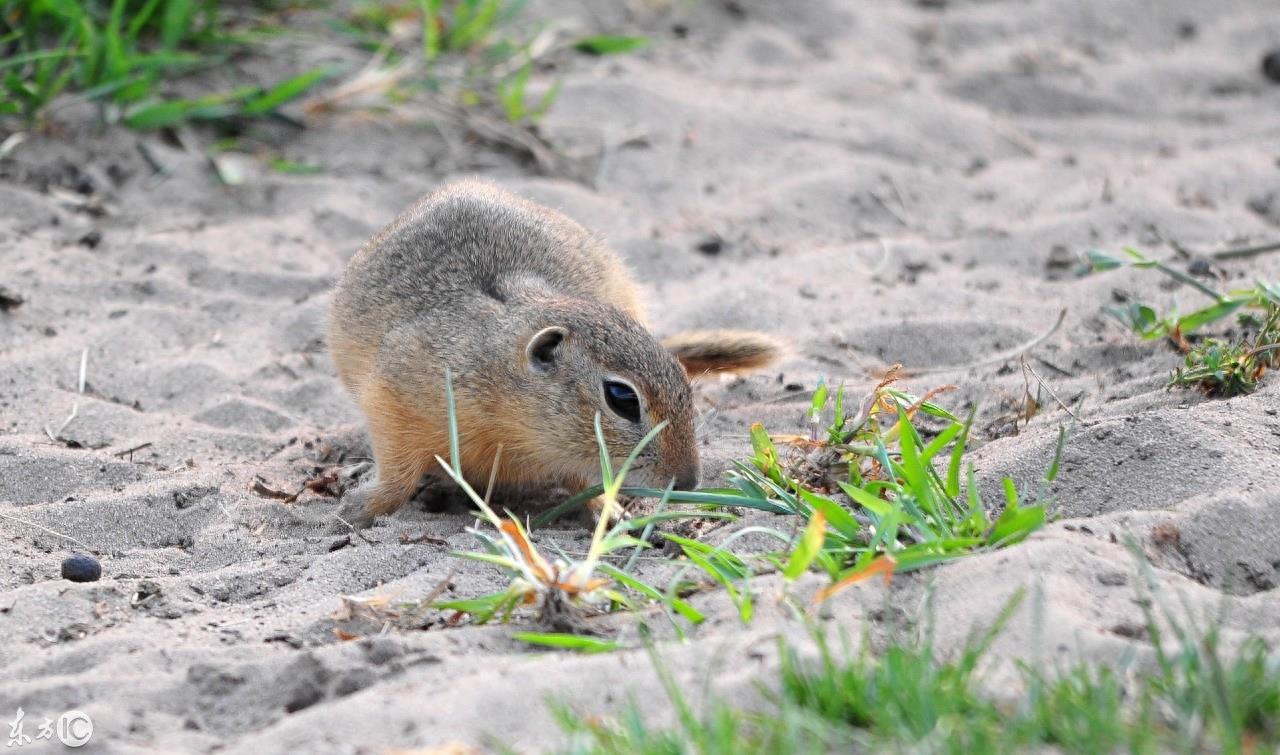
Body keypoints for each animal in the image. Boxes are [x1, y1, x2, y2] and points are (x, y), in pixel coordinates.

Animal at [327, 181, 778, 527]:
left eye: (685, 383)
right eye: (622, 398)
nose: (688, 481)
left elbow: (585, 482)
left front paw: (609, 513)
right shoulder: (397, 396)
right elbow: (398, 472)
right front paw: (360, 508)